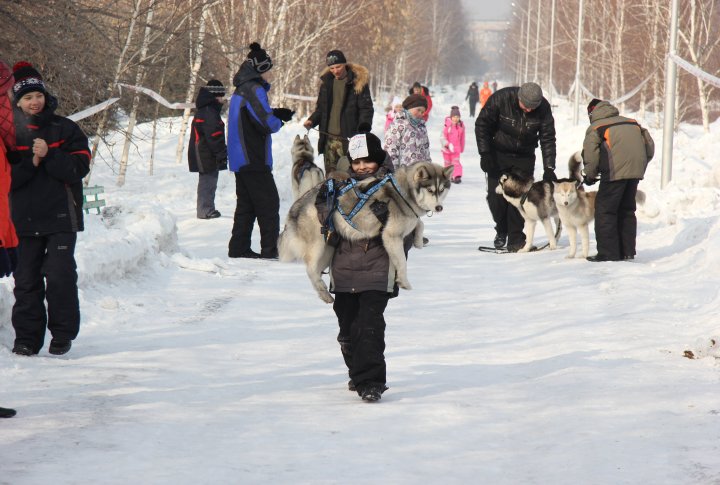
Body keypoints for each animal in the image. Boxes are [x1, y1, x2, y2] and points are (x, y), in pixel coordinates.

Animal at [278, 161, 452, 300]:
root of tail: (296, 204)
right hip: (319, 244)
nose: (439, 208)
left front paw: (418, 240)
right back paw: (322, 289)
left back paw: (324, 294)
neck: (403, 193)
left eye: (442, 189)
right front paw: (404, 281)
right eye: (430, 190)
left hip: (328, 247)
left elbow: (419, 223)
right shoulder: (391, 235)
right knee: (310, 269)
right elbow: (402, 261)